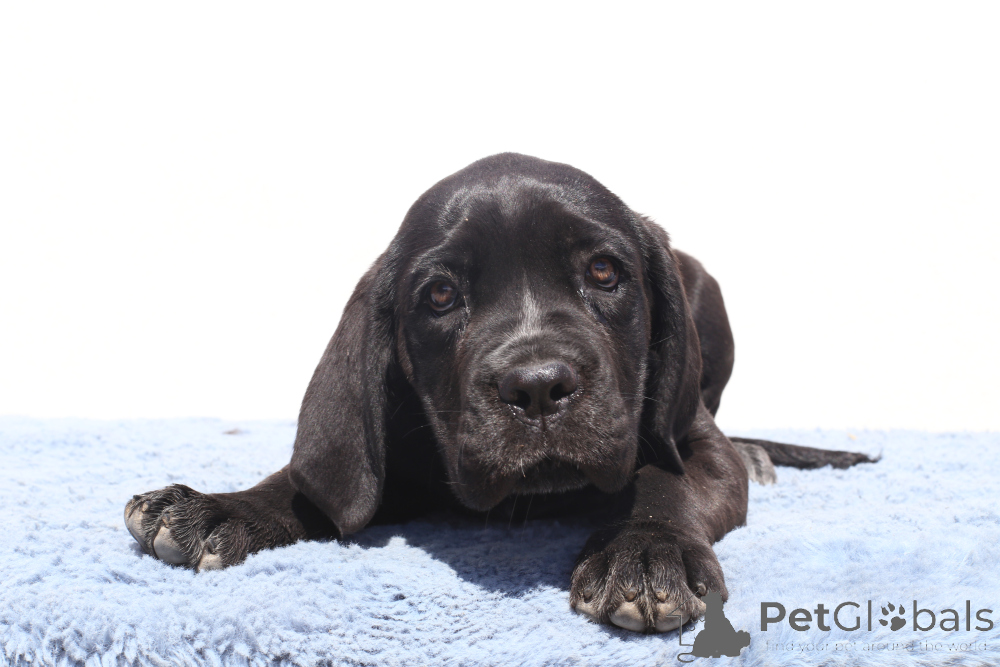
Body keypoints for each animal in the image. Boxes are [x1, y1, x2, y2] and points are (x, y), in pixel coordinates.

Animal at [125, 153, 873, 633]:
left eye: (605, 272)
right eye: (440, 295)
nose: (539, 388)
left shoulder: (691, 442)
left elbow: (665, 477)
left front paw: (645, 551)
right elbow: (317, 483)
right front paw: (221, 508)